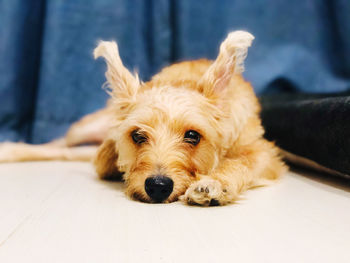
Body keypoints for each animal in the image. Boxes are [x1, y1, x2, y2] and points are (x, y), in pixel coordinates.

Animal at [0, 31, 286, 207]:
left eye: (193, 135)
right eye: (138, 135)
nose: (158, 186)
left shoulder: (264, 153)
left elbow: (242, 162)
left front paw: (215, 183)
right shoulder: (107, 151)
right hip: (86, 128)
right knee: (61, 144)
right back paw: (12, 149)